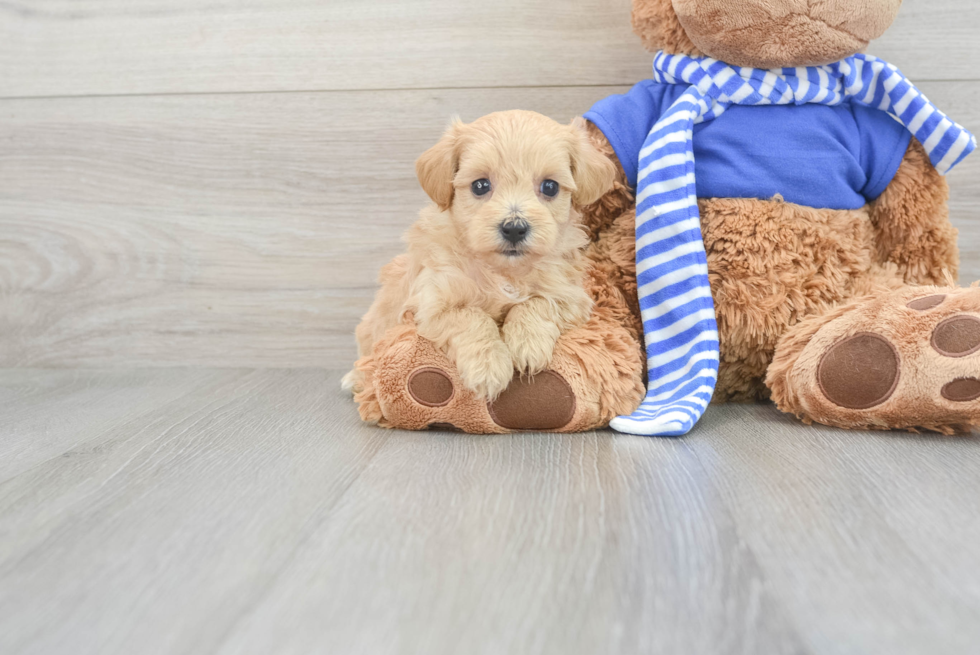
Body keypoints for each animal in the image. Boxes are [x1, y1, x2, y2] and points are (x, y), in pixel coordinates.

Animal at [346, 109, 612, 400]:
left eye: (550, 187)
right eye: (481, 185)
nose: (514, 228)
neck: (503, 270)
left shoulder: (569, 294)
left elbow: (536, 303)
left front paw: (527, 345)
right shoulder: (434, 303)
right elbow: (471, 317)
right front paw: (488, 366)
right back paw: (354, 379)